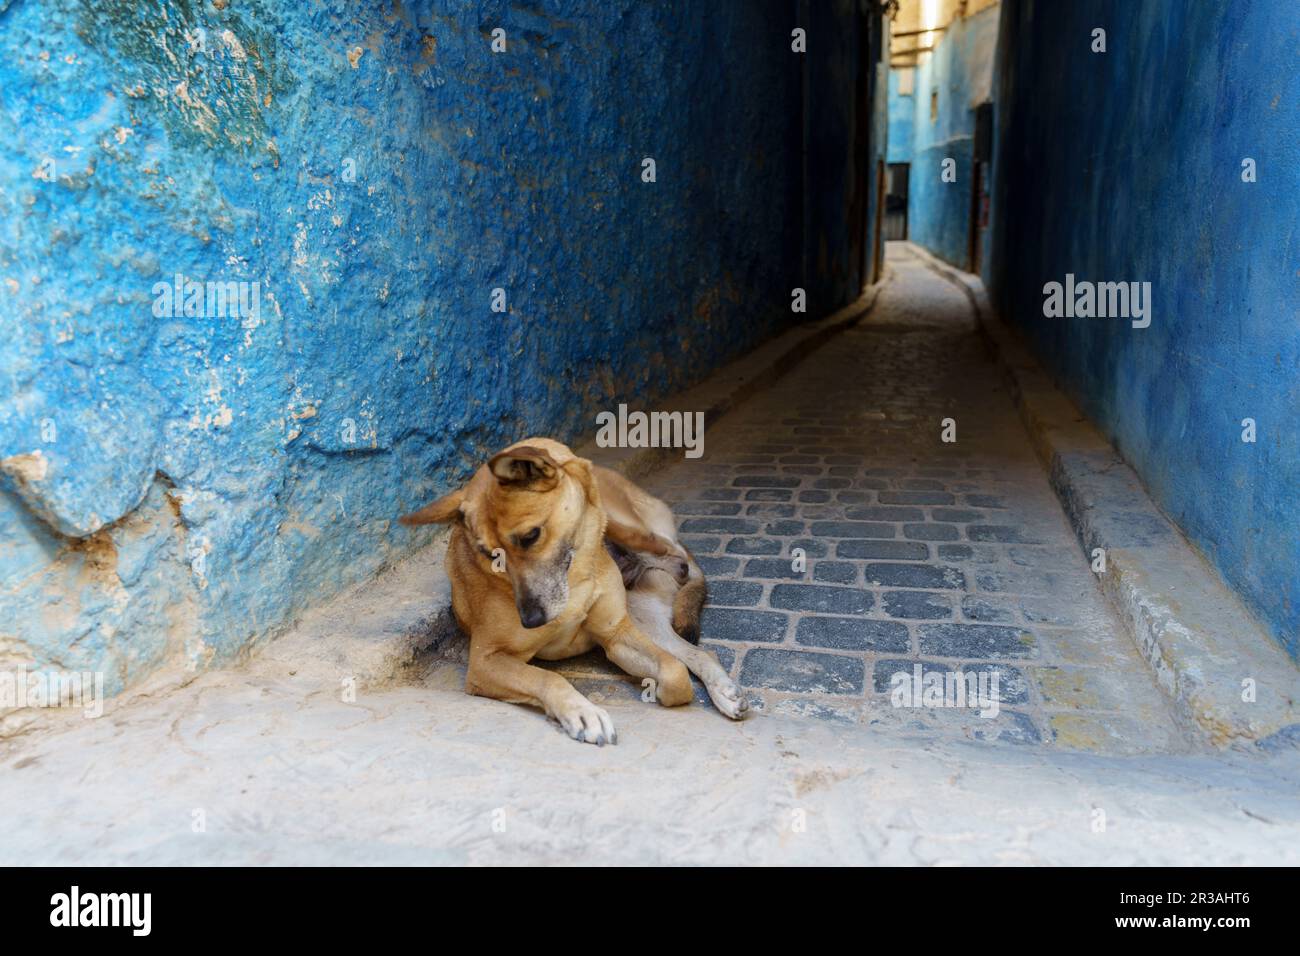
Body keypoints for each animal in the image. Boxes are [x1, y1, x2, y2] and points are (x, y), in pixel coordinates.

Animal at [395, 437, 748, 743]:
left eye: (530, 536)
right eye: (487, 553)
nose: (531, 621)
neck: (574, 579)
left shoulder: (616, 634)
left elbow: (674, 674)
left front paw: (654, 687)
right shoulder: (485, 661)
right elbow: (546, 676)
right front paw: (582, 712)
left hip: (618, 518)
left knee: (669, 549)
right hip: (644, 616)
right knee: (698, 651)